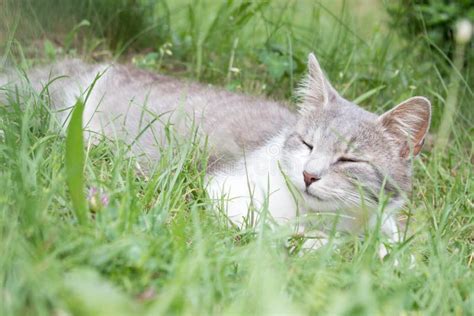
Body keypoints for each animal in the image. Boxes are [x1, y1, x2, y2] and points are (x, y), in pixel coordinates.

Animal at [0, 53, 432, 256]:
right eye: (307, 144)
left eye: (349, 160)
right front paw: (331, 245)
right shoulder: (225, 192)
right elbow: (284, 232)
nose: (309, 175)